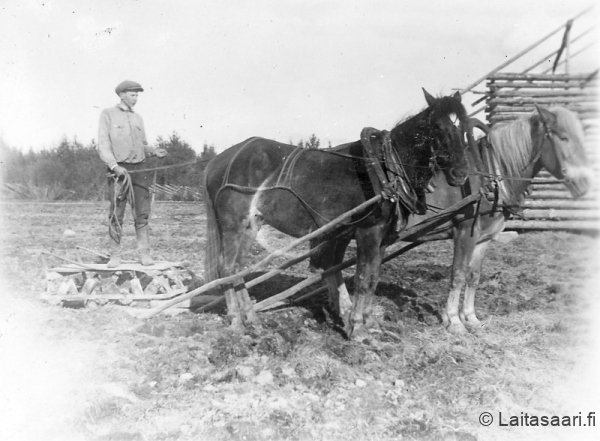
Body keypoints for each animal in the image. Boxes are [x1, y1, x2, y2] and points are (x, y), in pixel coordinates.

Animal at [197, 88, 474, 336]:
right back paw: (236, 322)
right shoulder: (367, 232)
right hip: (233, 224)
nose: (461, 173)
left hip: (251, 224)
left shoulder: (383, 236)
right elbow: (362, 278)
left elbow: (373, 278)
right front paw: (357, 328)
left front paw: (368, 322)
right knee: (227, 269)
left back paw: (252, 320)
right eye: (437, 127)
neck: (385, 168)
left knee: (238, 269)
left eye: (462, 128)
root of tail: (219, 159)